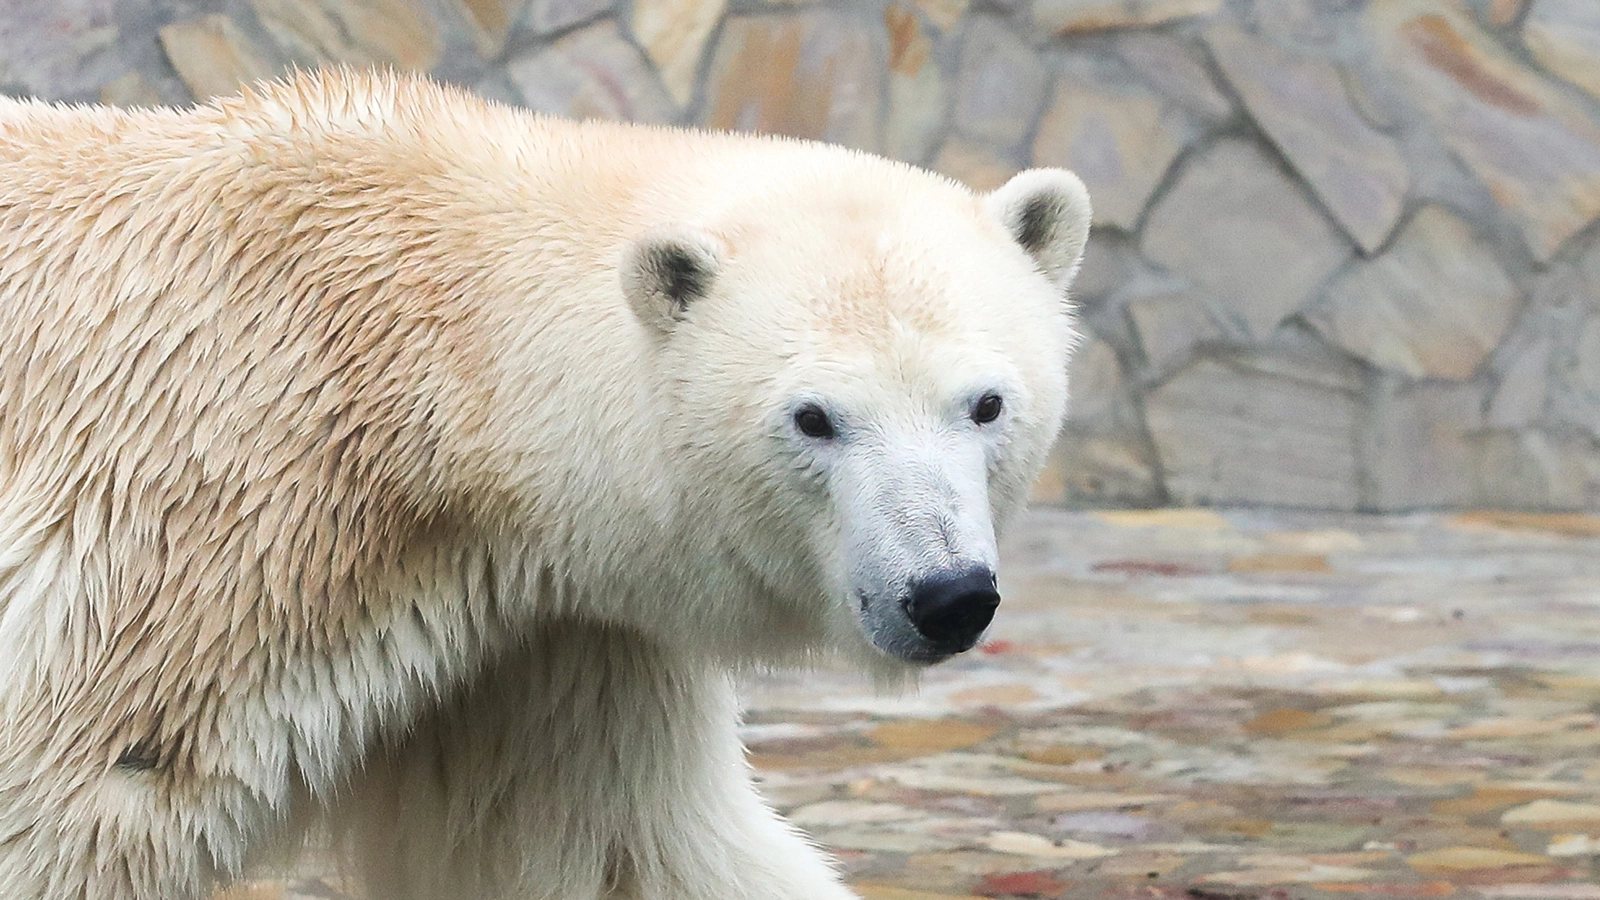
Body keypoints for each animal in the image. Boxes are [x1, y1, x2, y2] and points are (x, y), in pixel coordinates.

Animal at [0, 71, 1094, 896]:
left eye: (986, 404)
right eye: (814, 418)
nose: (946, 595)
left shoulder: (547, 634)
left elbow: (632, 847)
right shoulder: (196, 541)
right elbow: (79, 807)